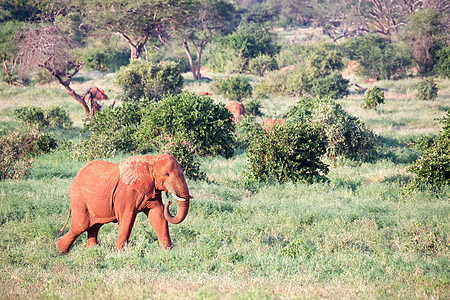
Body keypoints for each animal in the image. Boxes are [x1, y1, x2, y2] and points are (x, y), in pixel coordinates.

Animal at [55, 152, 192, 253]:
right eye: (166, 174)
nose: (169, 202)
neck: (151, 160)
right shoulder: (126, 192)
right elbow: (127, 220)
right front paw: (119, 253)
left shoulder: (152, 189)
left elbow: (158, 217)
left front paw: (167, 250)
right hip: (78, 198)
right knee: (80, 226)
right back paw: (60, 250)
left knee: (94, 226)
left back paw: (92, 250)